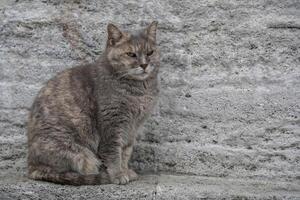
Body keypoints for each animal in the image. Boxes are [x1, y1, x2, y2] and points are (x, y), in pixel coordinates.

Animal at [26, 21, 159, 185]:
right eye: (131, 54)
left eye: (150, 52)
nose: (144, 65)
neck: (138, 90)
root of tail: (31, 165)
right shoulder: (112, 124)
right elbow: (114, 153)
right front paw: (118, 174)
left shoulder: (132, 128)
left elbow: (125, 152)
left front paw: (125, 170)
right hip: (79, 154)